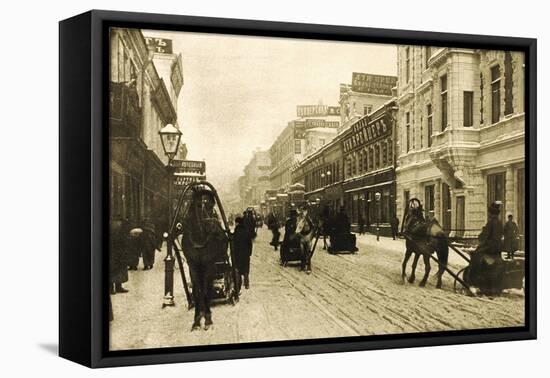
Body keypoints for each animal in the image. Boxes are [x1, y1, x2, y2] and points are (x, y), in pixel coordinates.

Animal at [181, 188, 229, 330]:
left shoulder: (208, 265)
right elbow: (198, 292)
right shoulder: (193, 266)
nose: (221, 235)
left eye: (212, 206)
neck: (199, 239)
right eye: (199, 205)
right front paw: (197, 320)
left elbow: (206, 291)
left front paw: (207, 319)